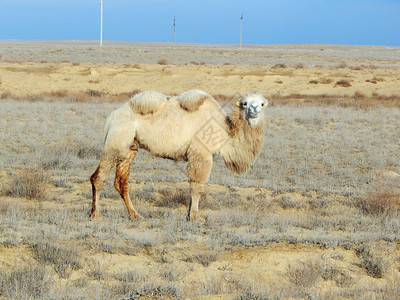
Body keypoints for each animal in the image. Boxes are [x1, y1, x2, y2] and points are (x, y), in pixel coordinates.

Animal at [89, 89, 268, 220]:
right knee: (98, 177)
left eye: (261, 103)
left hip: (130, 147)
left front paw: (189, 215)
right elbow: (197, 185)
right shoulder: (201, 153)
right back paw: (95, 215)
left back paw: (135, 215)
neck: (225, 131)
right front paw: (196, 217)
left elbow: (193, 185)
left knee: (121, 182)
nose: (254, 109)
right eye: (245, 103)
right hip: (116, 141)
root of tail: (113, 116)